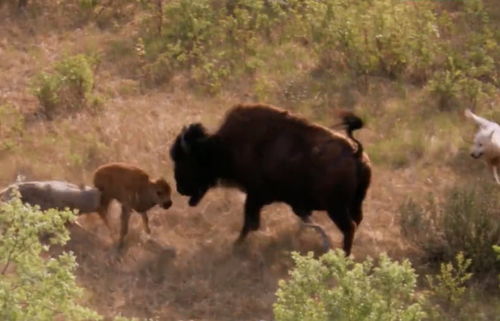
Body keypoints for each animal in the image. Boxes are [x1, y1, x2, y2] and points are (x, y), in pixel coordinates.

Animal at [171, 104, 372, 254]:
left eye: (185, 161)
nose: (180, 188)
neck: (224, 147)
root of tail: (355, 152)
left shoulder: (254, 196)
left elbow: (249, 223)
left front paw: (236, 245)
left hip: (336, 208)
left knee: (349, 227)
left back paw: (344, 256)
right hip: (355, 203)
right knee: (357, 222)